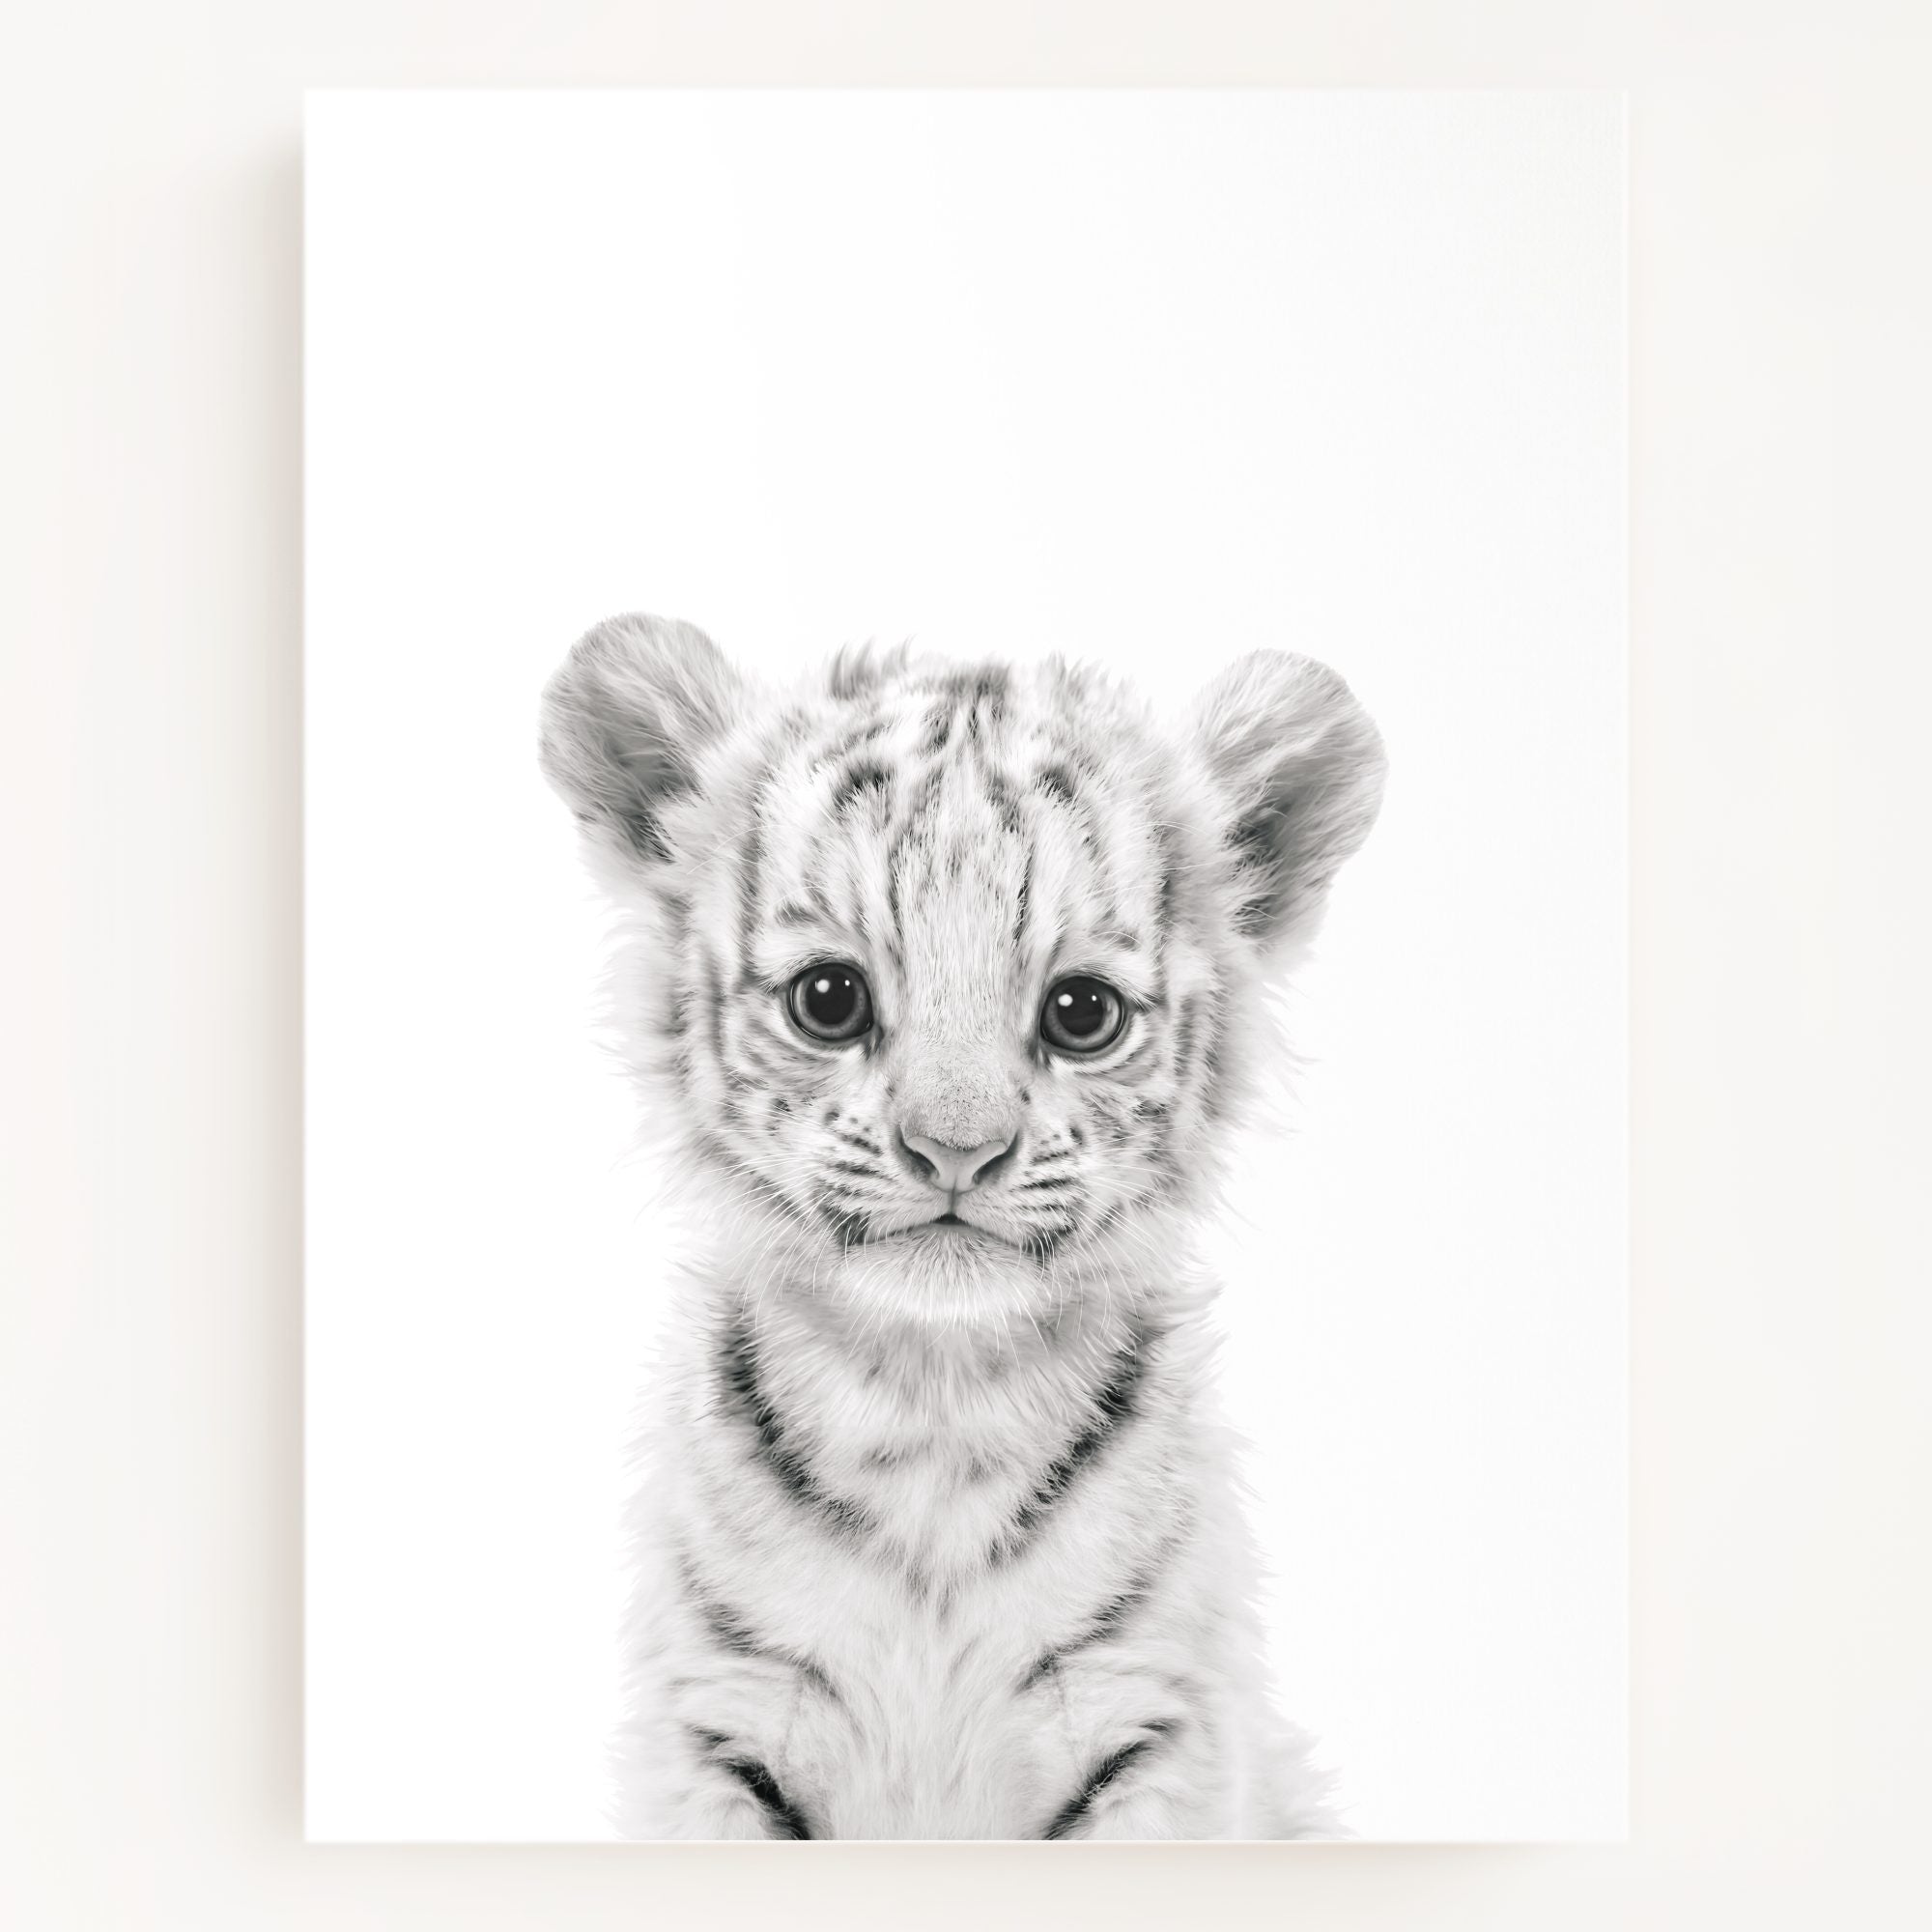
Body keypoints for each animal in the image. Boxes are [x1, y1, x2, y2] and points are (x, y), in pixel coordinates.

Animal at [539, 612, 1386, 1840]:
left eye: (1080, 1012)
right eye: (828, 998)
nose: (955, 1149)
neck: (933, 1407)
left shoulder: (1151, 1721)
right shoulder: (719, 1722)